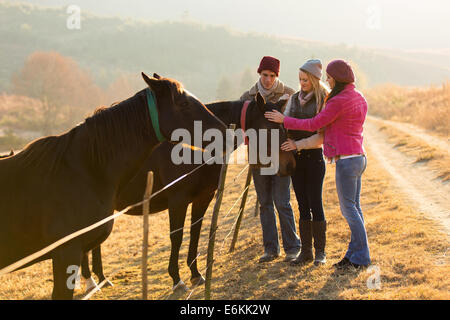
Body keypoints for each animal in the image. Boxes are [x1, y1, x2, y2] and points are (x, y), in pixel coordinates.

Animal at [81, 92, 298, 292]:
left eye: (284, 127)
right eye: (270, 128)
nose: (290, 165)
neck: (196, 147)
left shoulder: (203, 199)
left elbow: (195, 233)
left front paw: (196, 274)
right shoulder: (178, 201)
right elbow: (177, 237)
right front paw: (177, 280)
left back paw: (101, 278)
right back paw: (91, 282)